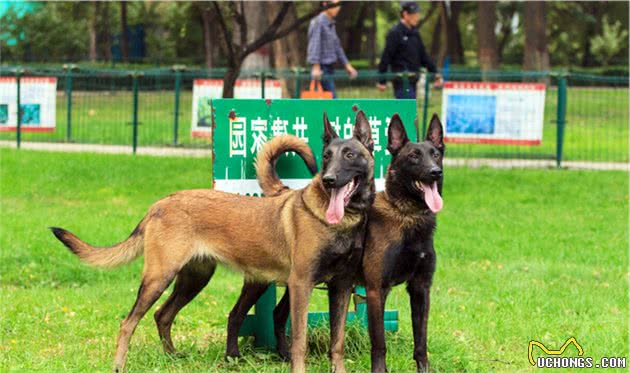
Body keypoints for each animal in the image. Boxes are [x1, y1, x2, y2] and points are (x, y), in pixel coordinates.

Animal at [50, 111, 376, 372]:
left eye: (350, 155)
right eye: (326, 156)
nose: (328, 179)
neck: (340, 221)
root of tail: (159, 204)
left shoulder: (340, 287)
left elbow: (337, 342)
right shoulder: (301, 284)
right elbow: (299, 341)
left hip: (194, 279)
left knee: (163, 315)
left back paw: (173, 357)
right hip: (159, 277)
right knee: (128, 323)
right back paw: (120, 365)